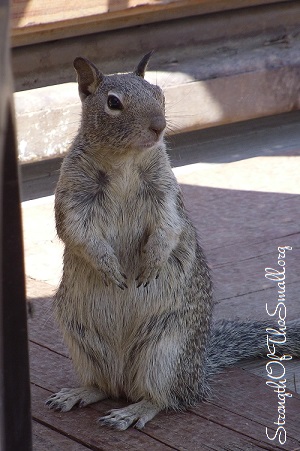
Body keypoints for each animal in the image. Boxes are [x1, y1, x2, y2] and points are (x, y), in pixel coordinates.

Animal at [45, 52, 300, 430]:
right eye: (113, 103)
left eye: (160, 94)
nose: (159, 126)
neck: (125, 162)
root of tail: (199, 374)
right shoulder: (73, 195)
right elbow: (77, 231)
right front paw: (109, 269)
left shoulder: (166, 194)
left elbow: (169, 227)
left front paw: (151, 264)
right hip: (81, 340)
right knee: (104, 386)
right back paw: (79, 393)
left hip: (165, 352)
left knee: (165, 399)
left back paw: (133, 411)